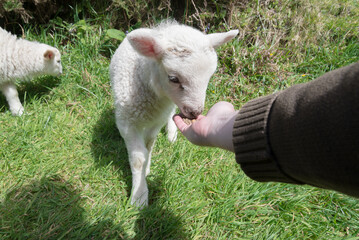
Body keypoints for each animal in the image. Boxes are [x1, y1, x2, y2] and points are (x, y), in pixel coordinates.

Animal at [109, 20, 239, 206]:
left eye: (209, 77)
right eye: (173, 79)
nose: (194, 112)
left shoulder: (156, 122)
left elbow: (149, 146)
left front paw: (145, 174)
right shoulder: (126, 123)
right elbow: (139, 158)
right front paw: (139, 197)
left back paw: (171, 133)